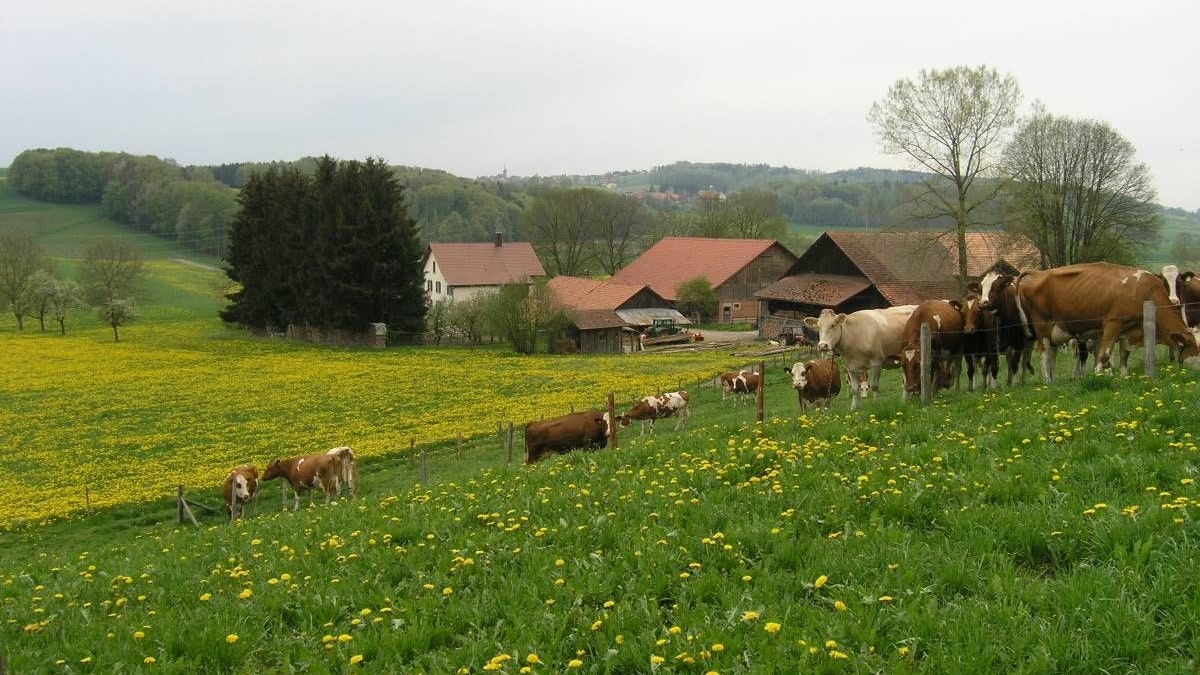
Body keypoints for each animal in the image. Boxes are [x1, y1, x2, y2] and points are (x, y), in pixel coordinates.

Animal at [1012, 261, 1200, 379]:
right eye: (1197, 349)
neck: (1146, 291)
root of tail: (1037, 273)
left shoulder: (1129, 330)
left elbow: (1124, 355)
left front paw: (1123, 377)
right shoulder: (1112, 323)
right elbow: (1104, 355)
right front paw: (1097, 376)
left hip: (1055, 331)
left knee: (1052, 354)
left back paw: (1054, 379)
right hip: (1042, 326)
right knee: (1044, 354)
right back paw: (1047, 381)